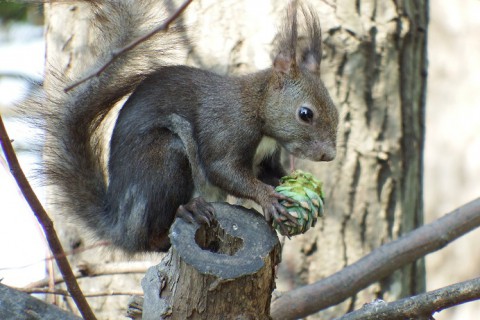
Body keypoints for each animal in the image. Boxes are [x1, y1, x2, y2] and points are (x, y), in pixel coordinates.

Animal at [39, 1, 340, 254]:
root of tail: (121, 228)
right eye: (305, 114)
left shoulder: (267, 157)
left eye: (336, 112)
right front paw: (269, 198)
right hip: (165, 159)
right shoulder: (226, 129)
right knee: (154, 237)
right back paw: (188, 211)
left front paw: (302, 196)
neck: (257, 105)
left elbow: (270, 174)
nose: (329, 155)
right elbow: (224, 170)